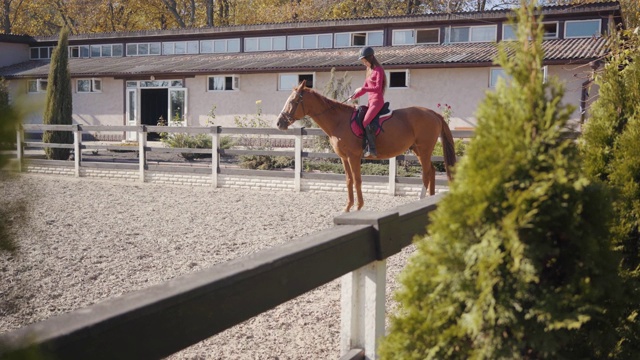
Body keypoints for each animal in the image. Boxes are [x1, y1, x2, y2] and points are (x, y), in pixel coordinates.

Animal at [276, 80, 456, 212]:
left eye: (293, 101)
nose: (279, 123)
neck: (339, 121)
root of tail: (433, 113)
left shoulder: (353, 156)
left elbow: (357, 180)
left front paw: (359, 207)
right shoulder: (344, 158)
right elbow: (349, 180)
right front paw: (347, 208)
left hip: (424, 150)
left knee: (426, 174)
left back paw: (420, 199)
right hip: (419, 150)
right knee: (432, 171)